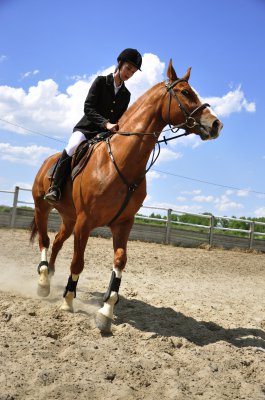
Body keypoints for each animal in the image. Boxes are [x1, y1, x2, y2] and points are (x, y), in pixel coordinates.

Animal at [29, 59, 222, 332]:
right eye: (185, 93)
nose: (216, 124)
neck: (120, 160)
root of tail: (48, 160)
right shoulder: (85, 222)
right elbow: (78, 262)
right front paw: (68, 302)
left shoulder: (123, 223)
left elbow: (120, 261)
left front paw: (106, 311)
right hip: (43, 208)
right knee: (45, 240)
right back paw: (44, 281)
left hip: (69, 218)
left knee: (56, 242)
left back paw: (51, 275)